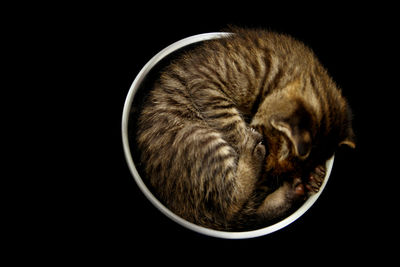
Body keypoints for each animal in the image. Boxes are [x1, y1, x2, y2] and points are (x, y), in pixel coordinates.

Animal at [136, 27, 354, 232]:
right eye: (271, 145)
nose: (266, 176)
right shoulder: (206, 83)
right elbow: (231, 122)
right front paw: (245, 139)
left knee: (244, 213)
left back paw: (294, 189)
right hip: (199, 136)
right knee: (232, 205)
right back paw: (252, 155)